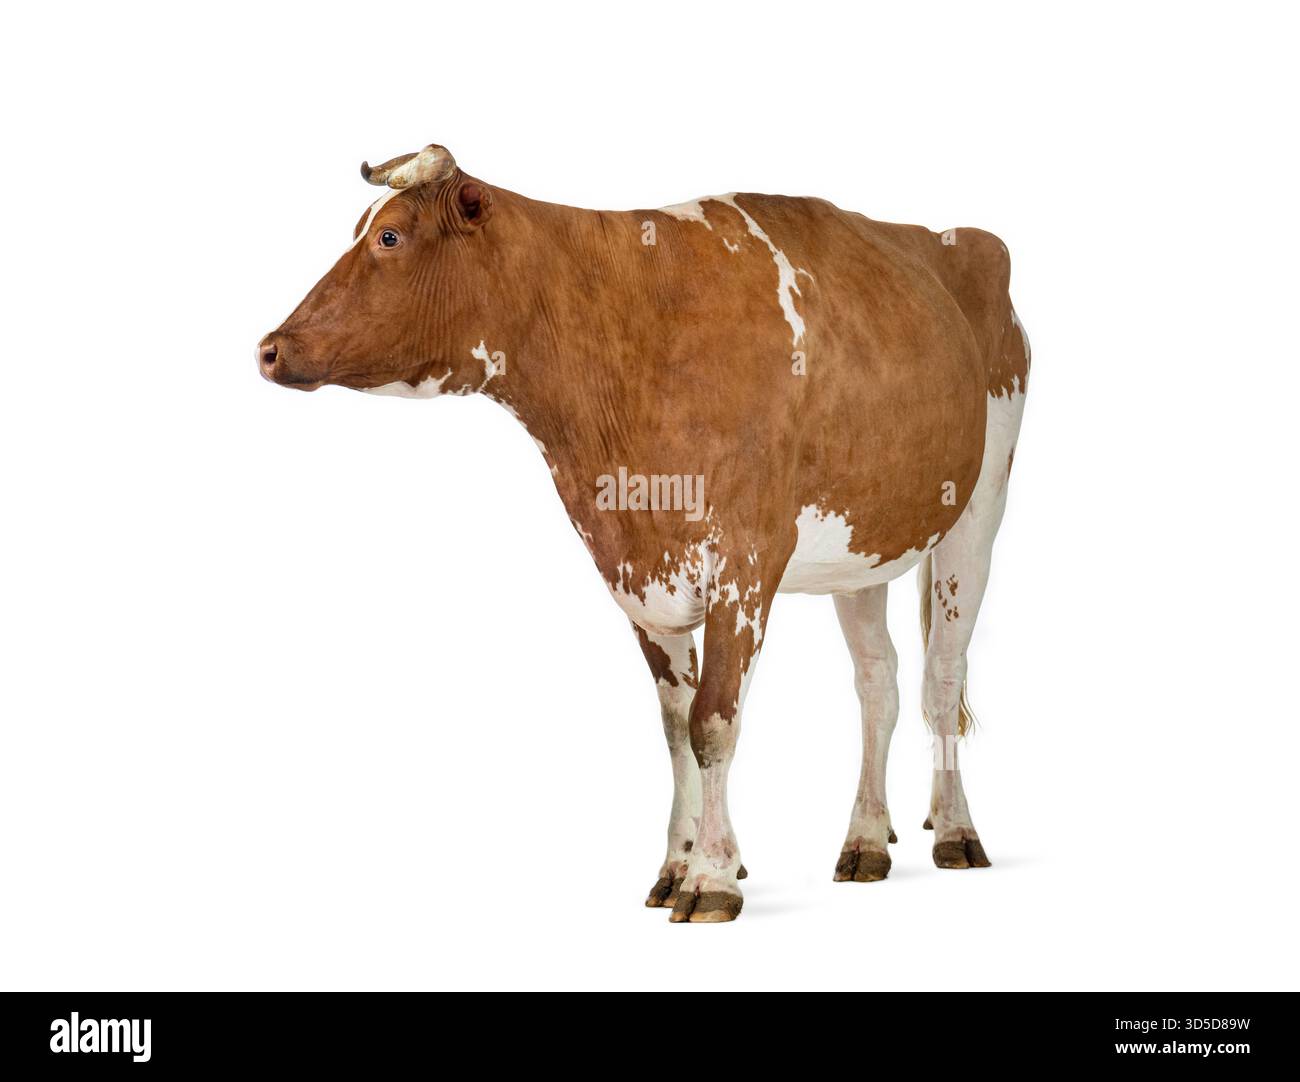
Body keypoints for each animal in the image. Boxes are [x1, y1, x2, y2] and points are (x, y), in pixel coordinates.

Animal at [258, 143, 1030, 923]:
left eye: (389, 237)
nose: (269, 348)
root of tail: (958, 237)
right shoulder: (640, 576)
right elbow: (675, 727)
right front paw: (677, 864)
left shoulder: (745, 562)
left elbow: (713, 722)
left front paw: (713, 877)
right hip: (862, 546)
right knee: (879, 682)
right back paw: (866, 840)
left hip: (980, 506)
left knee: (942, 676)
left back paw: (956, 831)